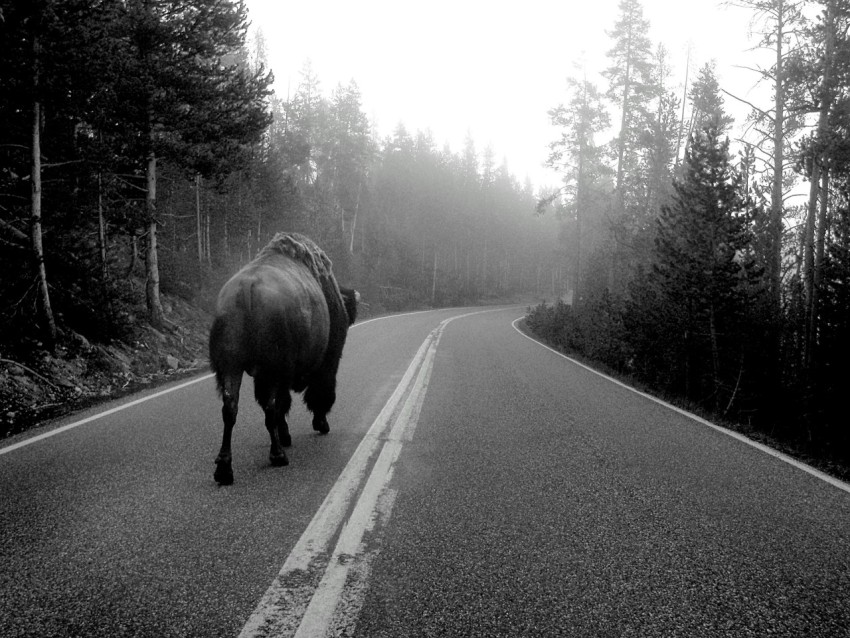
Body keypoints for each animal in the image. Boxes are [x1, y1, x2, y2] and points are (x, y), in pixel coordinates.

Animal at [208, 232, 358, 485]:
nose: (323, 425)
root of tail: (247, 288)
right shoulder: (324, 364)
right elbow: (308, 394)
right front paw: (318, 423)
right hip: (271, 371)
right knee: (271, 407)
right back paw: (278, 454)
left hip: (231, 366)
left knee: (230, 408)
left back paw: (224, 469)